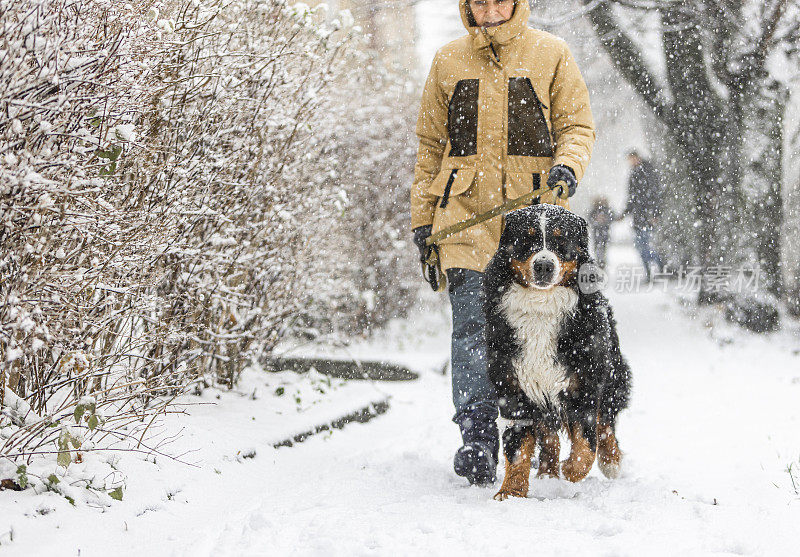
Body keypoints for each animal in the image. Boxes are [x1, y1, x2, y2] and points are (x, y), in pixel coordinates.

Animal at [482, 203, 632, 500]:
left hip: (613, 375)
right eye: (526, 239)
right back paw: (547, 474)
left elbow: (586, 445)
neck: (542, 308)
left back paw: (611, 462)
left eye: (561, 240)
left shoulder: (584, 382)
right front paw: (512, 491)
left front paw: (571, 471)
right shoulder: (513, 386)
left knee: (606, 422)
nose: (543, 265)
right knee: (550, 437)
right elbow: (518, 447)